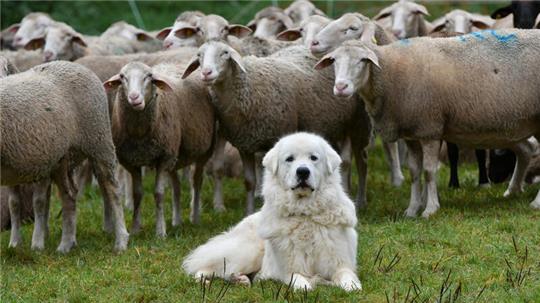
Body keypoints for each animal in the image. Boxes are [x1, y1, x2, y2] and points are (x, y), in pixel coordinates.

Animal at [0, 60, 129, 253]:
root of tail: (75, 65)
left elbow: (38, 202)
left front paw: (36, 244)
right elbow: (14, 204)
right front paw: (15, 243)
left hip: (99, 142)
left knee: (112, 190)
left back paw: (121, 240)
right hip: (61, 159)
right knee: (69, 195)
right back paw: (66, 244)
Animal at [103, 60, 215, 234]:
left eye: (149, 76)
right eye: (122, 77)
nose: (134, 98)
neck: (140, 135)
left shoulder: (163, 158)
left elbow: (159, 193)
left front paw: (160, 231)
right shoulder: (132, 161)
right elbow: (137, 194)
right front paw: (135, 228)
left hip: (203, 150)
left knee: (196, 181)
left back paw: (195, 217)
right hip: (175, 156)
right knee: (176, 186)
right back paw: (177, 221)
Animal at [181, 41, 372, 215]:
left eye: (225, 53)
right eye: (199, 55)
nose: (206, 73)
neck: (247, 89)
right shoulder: (245, 144)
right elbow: (249, 182)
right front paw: (249, 212)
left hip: (354, 123)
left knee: (352, 162)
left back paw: (355, 199)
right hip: (328, 126)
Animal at [182, 133, 362, 292]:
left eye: (313, 158)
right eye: (290, 159)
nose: (303, 171)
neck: (304, 213)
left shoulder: (340, 264)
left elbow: (347, 277)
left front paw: (351, 287)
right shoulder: (289, 269)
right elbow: (299, 280)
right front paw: (305, 286)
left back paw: (241, 280)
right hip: (249, 252)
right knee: (207, 267)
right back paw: (207, 281)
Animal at [314, 29, 540, 217]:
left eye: (363, 60)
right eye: (334, 61)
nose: (341, 87)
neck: (390, 74)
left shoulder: (429, 128)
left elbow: (429, 172)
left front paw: (430, 209)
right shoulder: (411, 133)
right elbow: (415, 172)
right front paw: (412, 210)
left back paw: (535, 203)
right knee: (527, 150)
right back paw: (513, 192)